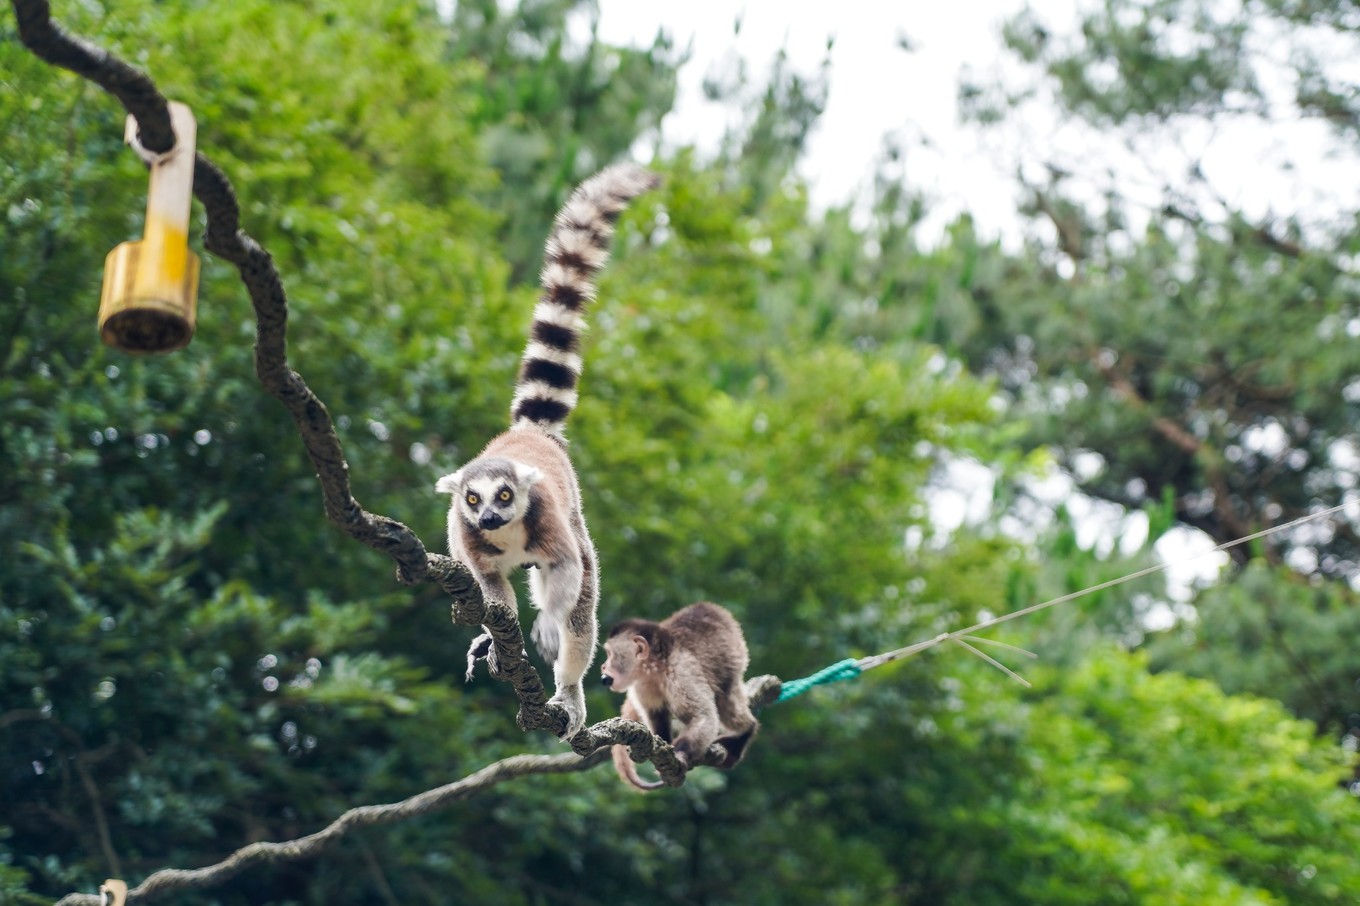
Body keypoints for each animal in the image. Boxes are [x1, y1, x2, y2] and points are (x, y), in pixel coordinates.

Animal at [601, 604, 761, 789]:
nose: (603, 666)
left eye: (610, 655)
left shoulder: (681, 670)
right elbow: (656, 714)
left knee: (723, 698)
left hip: (735, 658)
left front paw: (680, 754)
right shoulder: (642, 684)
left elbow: (703, 716)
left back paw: (746, 730)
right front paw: (663, 751)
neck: (657, 668)